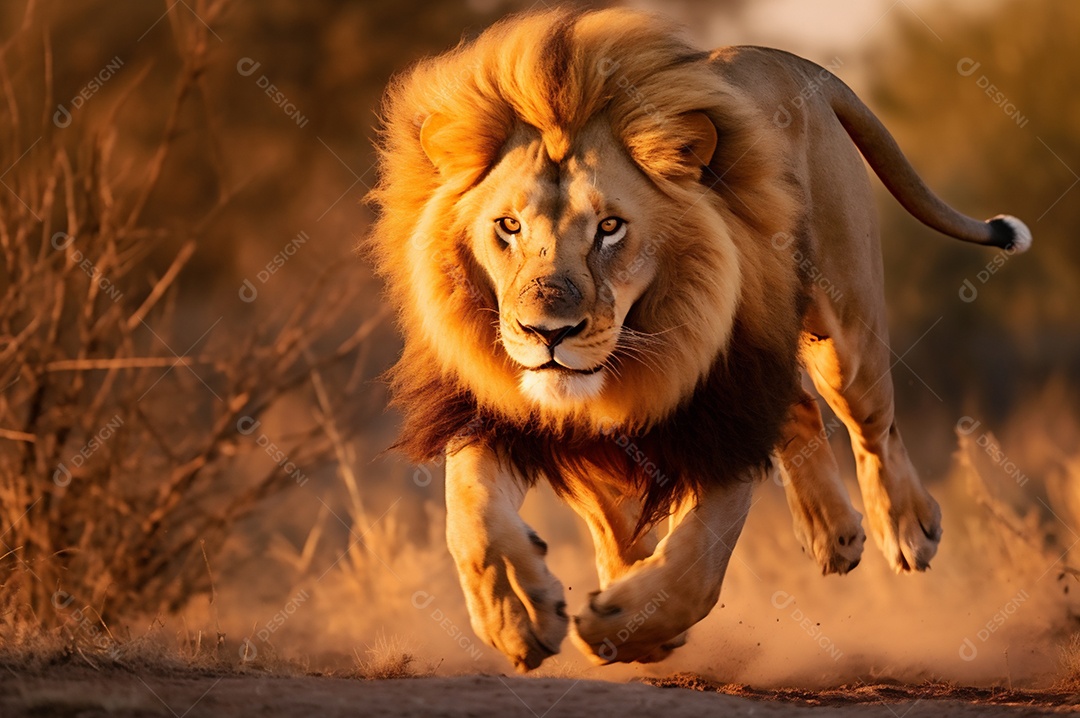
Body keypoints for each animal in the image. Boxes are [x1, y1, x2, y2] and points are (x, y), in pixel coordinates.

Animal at [368, 8, 1031, 672]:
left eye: (610, 227)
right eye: (508, 226)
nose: (547, 332)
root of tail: (780, 57)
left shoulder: (722, 419)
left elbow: (697, 563)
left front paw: (628, 624)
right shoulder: (499, 412)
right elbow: (476, 512)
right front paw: (518, 612)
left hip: (844, 336)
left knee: (874, 428)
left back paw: (908, 528)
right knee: (798, 409)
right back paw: (832, 533)